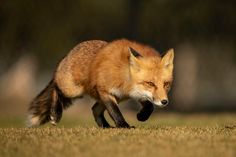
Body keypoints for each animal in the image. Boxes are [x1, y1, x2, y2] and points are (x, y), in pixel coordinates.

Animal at [28, 38, 174, 128]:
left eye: (166, 84)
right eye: (150, 83)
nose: (164, 102)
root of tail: (69, 53)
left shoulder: (135, 93)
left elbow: (150, 106)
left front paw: (142, 116)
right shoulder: (105, 91)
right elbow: (115, 112)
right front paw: (124, 125)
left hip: (117, 98)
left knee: (94, 109)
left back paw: (106, 127)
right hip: (73, 90)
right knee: (55, 88)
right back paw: (55, 113)